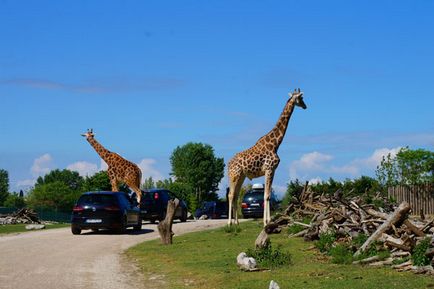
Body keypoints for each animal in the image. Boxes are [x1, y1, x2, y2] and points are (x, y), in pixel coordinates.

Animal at [227, 88, 306, 225]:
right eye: (301, 98)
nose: (305, 106)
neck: (275, 144)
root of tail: (228, 164)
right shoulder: (269, 169)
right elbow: (266, 195)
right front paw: (266, 222)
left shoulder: (272, 170)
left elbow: (267, 195)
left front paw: (268, 221)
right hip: (234, 175)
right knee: (231, 195)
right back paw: (229, 223)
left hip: (241, 176)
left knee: (236, 195)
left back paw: (236, 223)